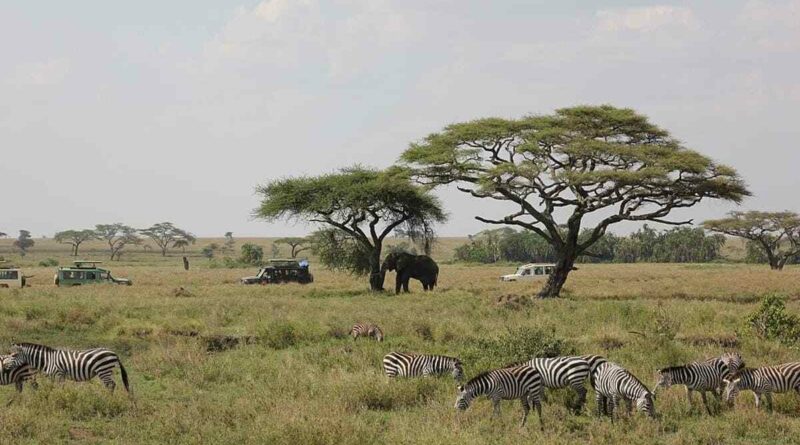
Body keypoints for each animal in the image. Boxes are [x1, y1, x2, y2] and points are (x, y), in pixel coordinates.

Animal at [3, 340, 131, 396]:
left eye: (13, 355)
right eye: (9, 354)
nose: (3, 366)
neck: (48, 360)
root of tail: (114, 353)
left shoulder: (59, 374)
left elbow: (60, 389)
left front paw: (61, 399)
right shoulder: (54, 377)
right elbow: (52, 388)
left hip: (103, 370)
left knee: (111, 385)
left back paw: (108, 399)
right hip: (106, 371)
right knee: (111, 384)